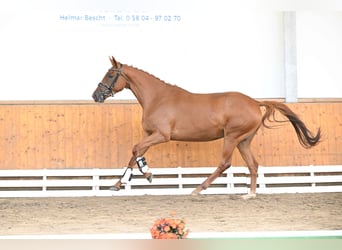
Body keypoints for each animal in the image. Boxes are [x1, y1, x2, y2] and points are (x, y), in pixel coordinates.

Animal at [91, 56, 320, 199]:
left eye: (110, 75)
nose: (96, 95)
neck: (157, 98)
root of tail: (255, 102)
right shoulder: (150, 134)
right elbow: (135, 152)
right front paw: (119, 183)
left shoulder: (161, 135)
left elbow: (135, 150)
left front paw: (146, 174)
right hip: (244, 141)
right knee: (253, 165)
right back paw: (250, 194)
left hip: (231, 137)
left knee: (225, 163)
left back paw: (198, 189)